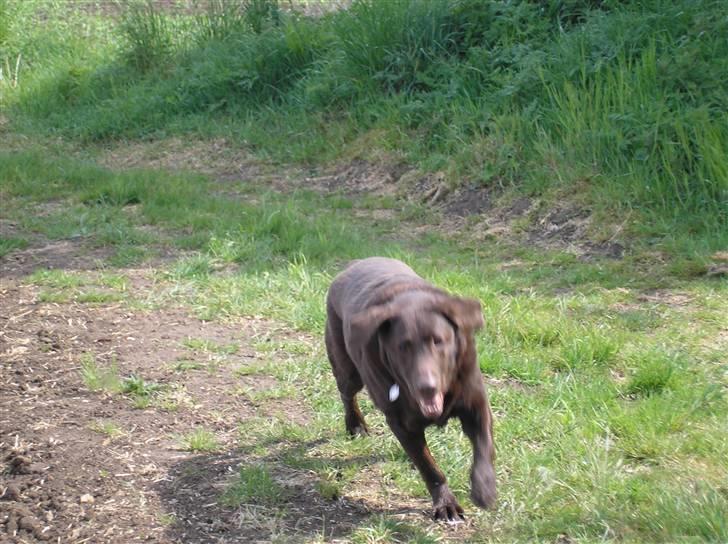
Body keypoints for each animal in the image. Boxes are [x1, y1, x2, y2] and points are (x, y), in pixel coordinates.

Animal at [328, 258, 498, 520]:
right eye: (403, 347)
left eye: (438, 341)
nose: (426, 387)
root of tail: (351, 265)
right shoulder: (401, 423)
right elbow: (429, 467)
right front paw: (446, 503)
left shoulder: (474, 402)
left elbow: (483, 446)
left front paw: (484, 488)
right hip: (348, 369)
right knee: (347, 393)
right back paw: (356, 425)